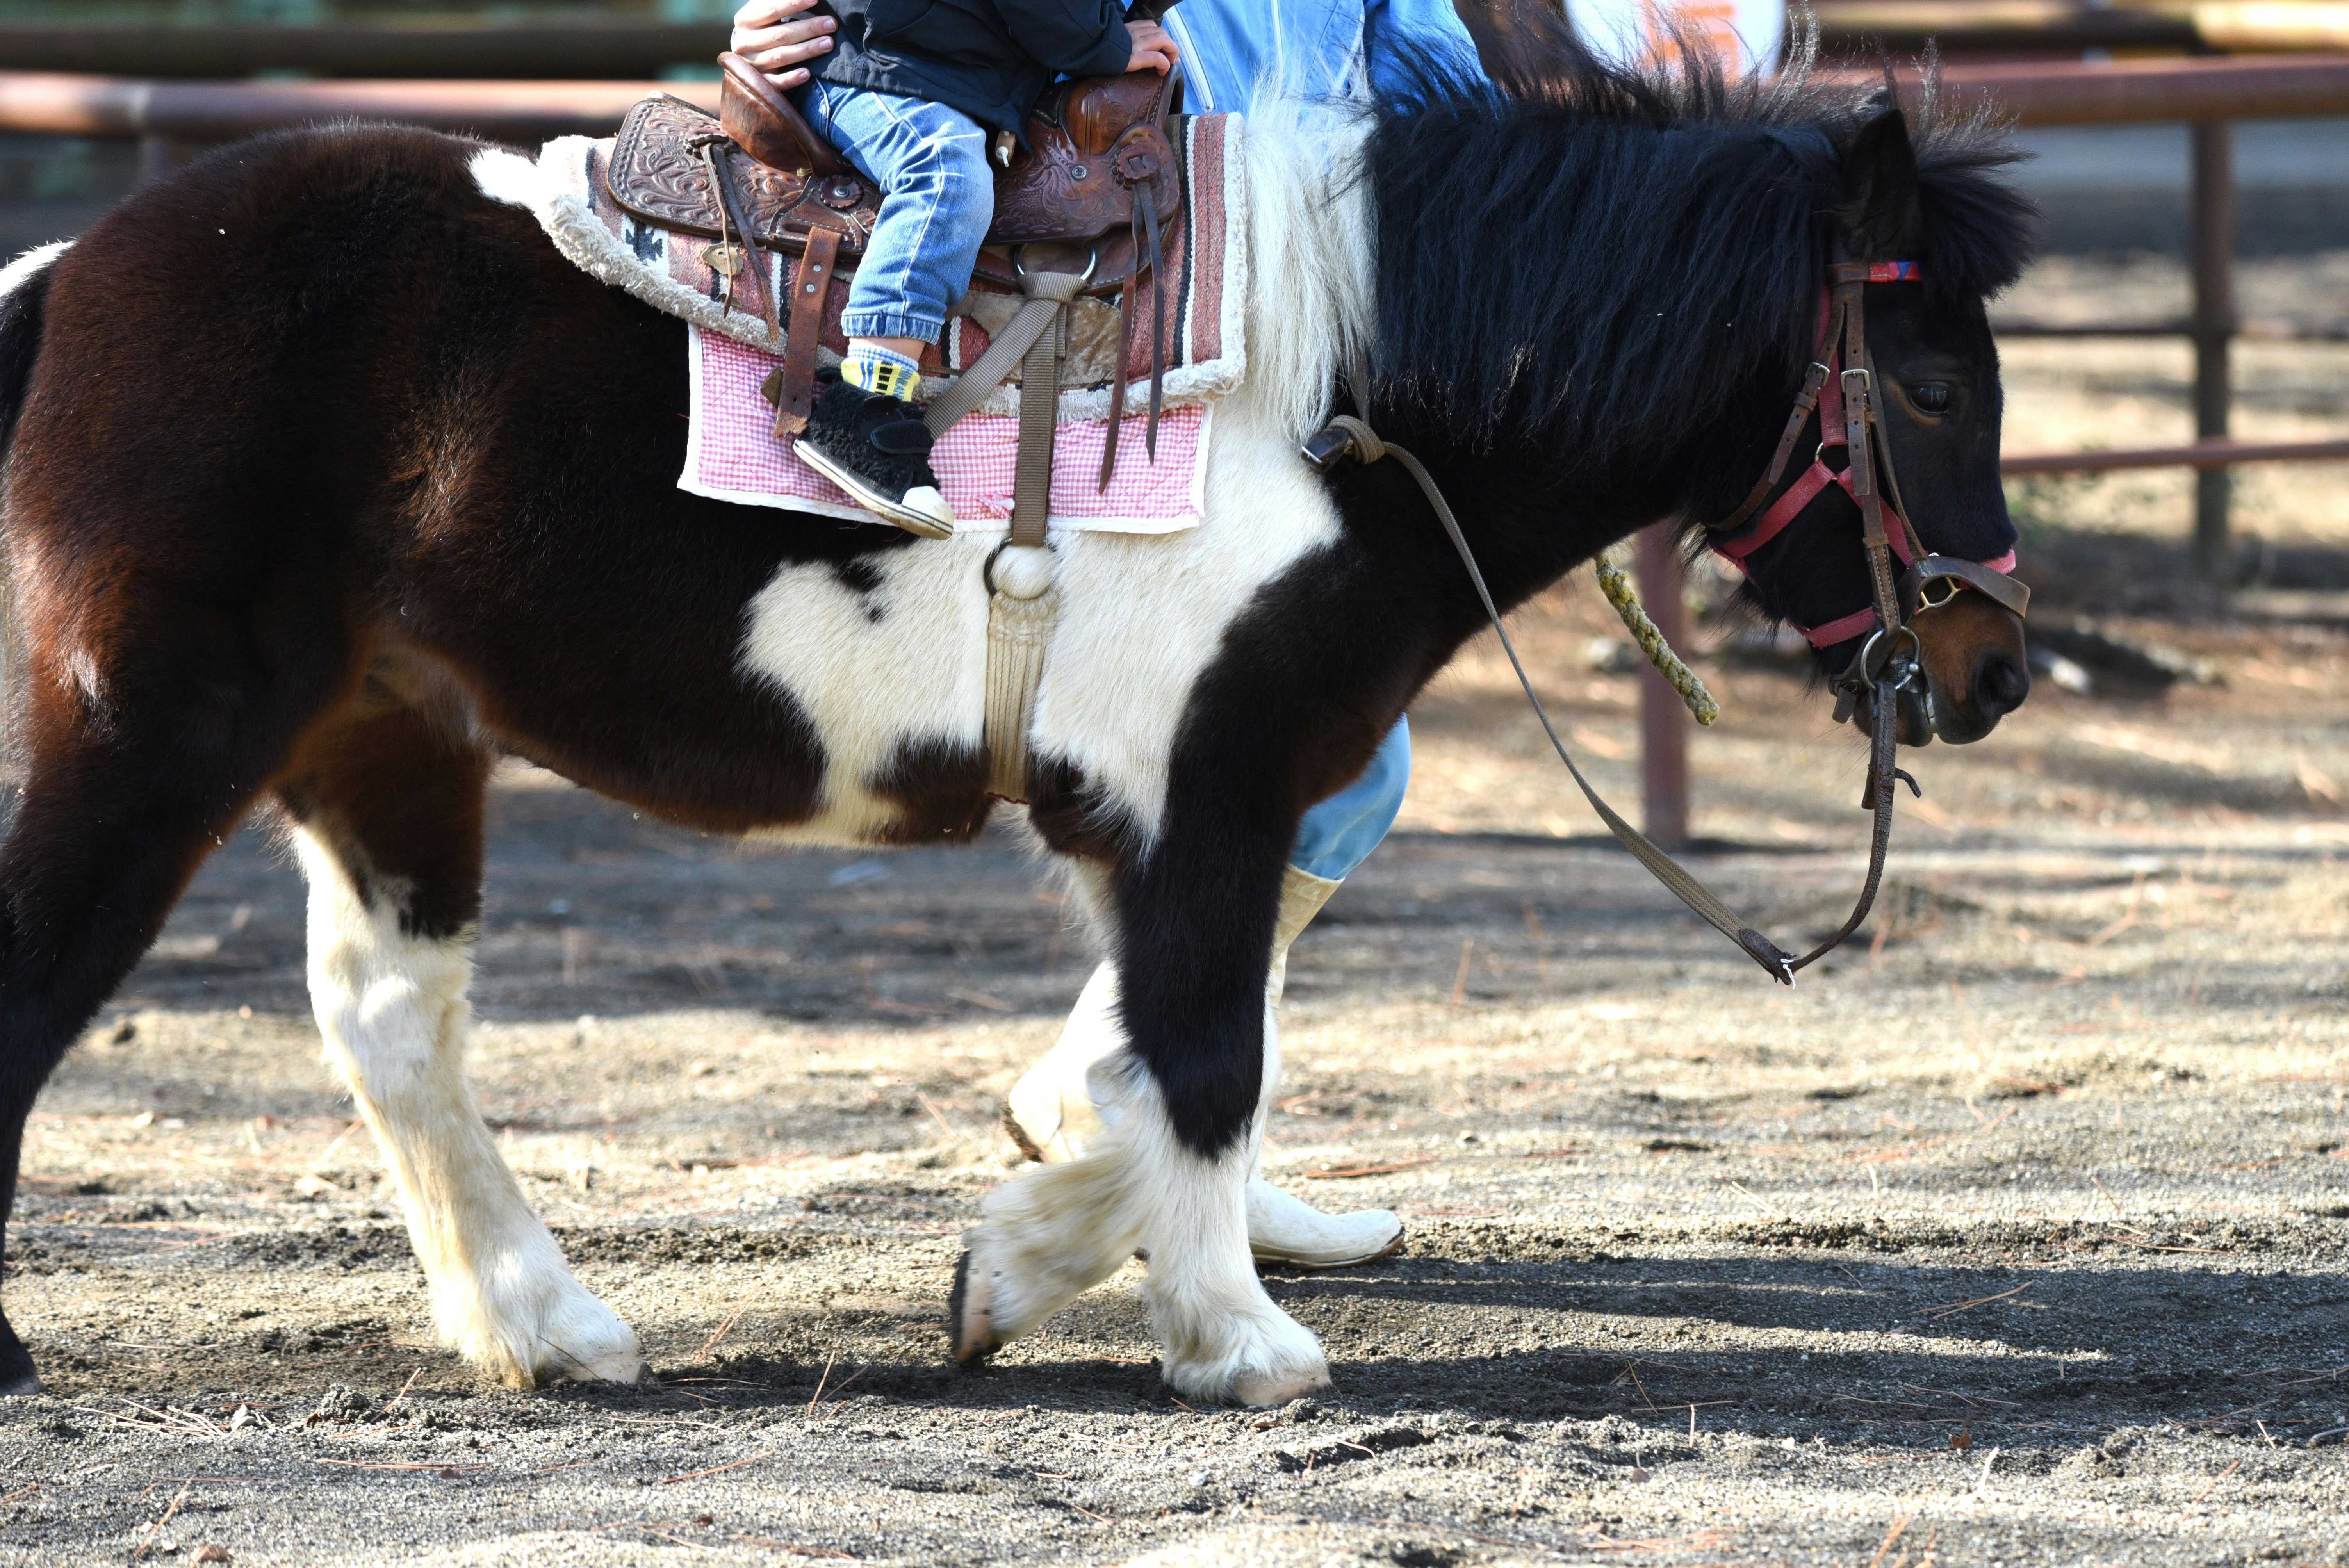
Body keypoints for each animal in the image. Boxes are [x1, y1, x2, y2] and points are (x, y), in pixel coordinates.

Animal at [0, 17, 2035, 1406]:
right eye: (1930, 383)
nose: (1994, 666)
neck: (1331, 397)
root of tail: (69, 273)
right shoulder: (1198, 796)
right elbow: (1203, 1055)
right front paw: (1223, 1332)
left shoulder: (1163, 820)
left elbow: (1158, 1057)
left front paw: (1029, 1253)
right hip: (153, 734)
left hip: (390, 738)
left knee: (393, 1025)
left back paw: (544, 1320)